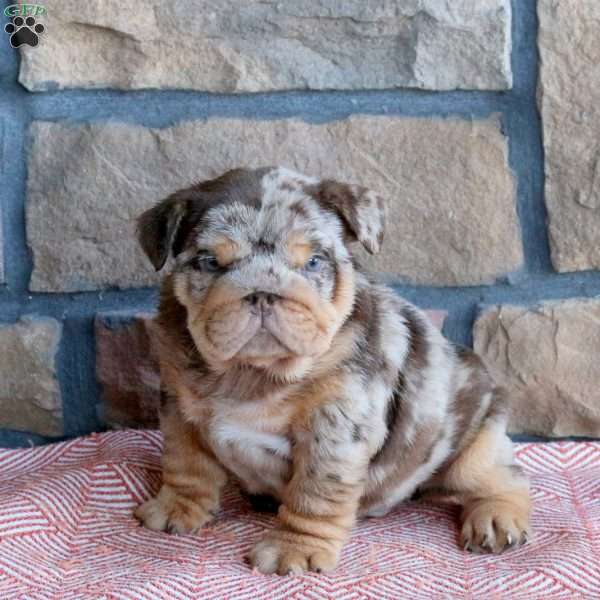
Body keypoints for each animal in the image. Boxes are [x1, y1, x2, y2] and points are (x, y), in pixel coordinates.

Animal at [135, 166, 528, 576]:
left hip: (476, 447)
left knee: (503, 480)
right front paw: (177, 506)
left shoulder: (335, 429)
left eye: (313, 263)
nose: (262, 293)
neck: (252, 373)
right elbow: (185, 463)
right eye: (211, 262)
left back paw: (494, 518)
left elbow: (316, 493)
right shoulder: (179, 407)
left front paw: (294, 547)